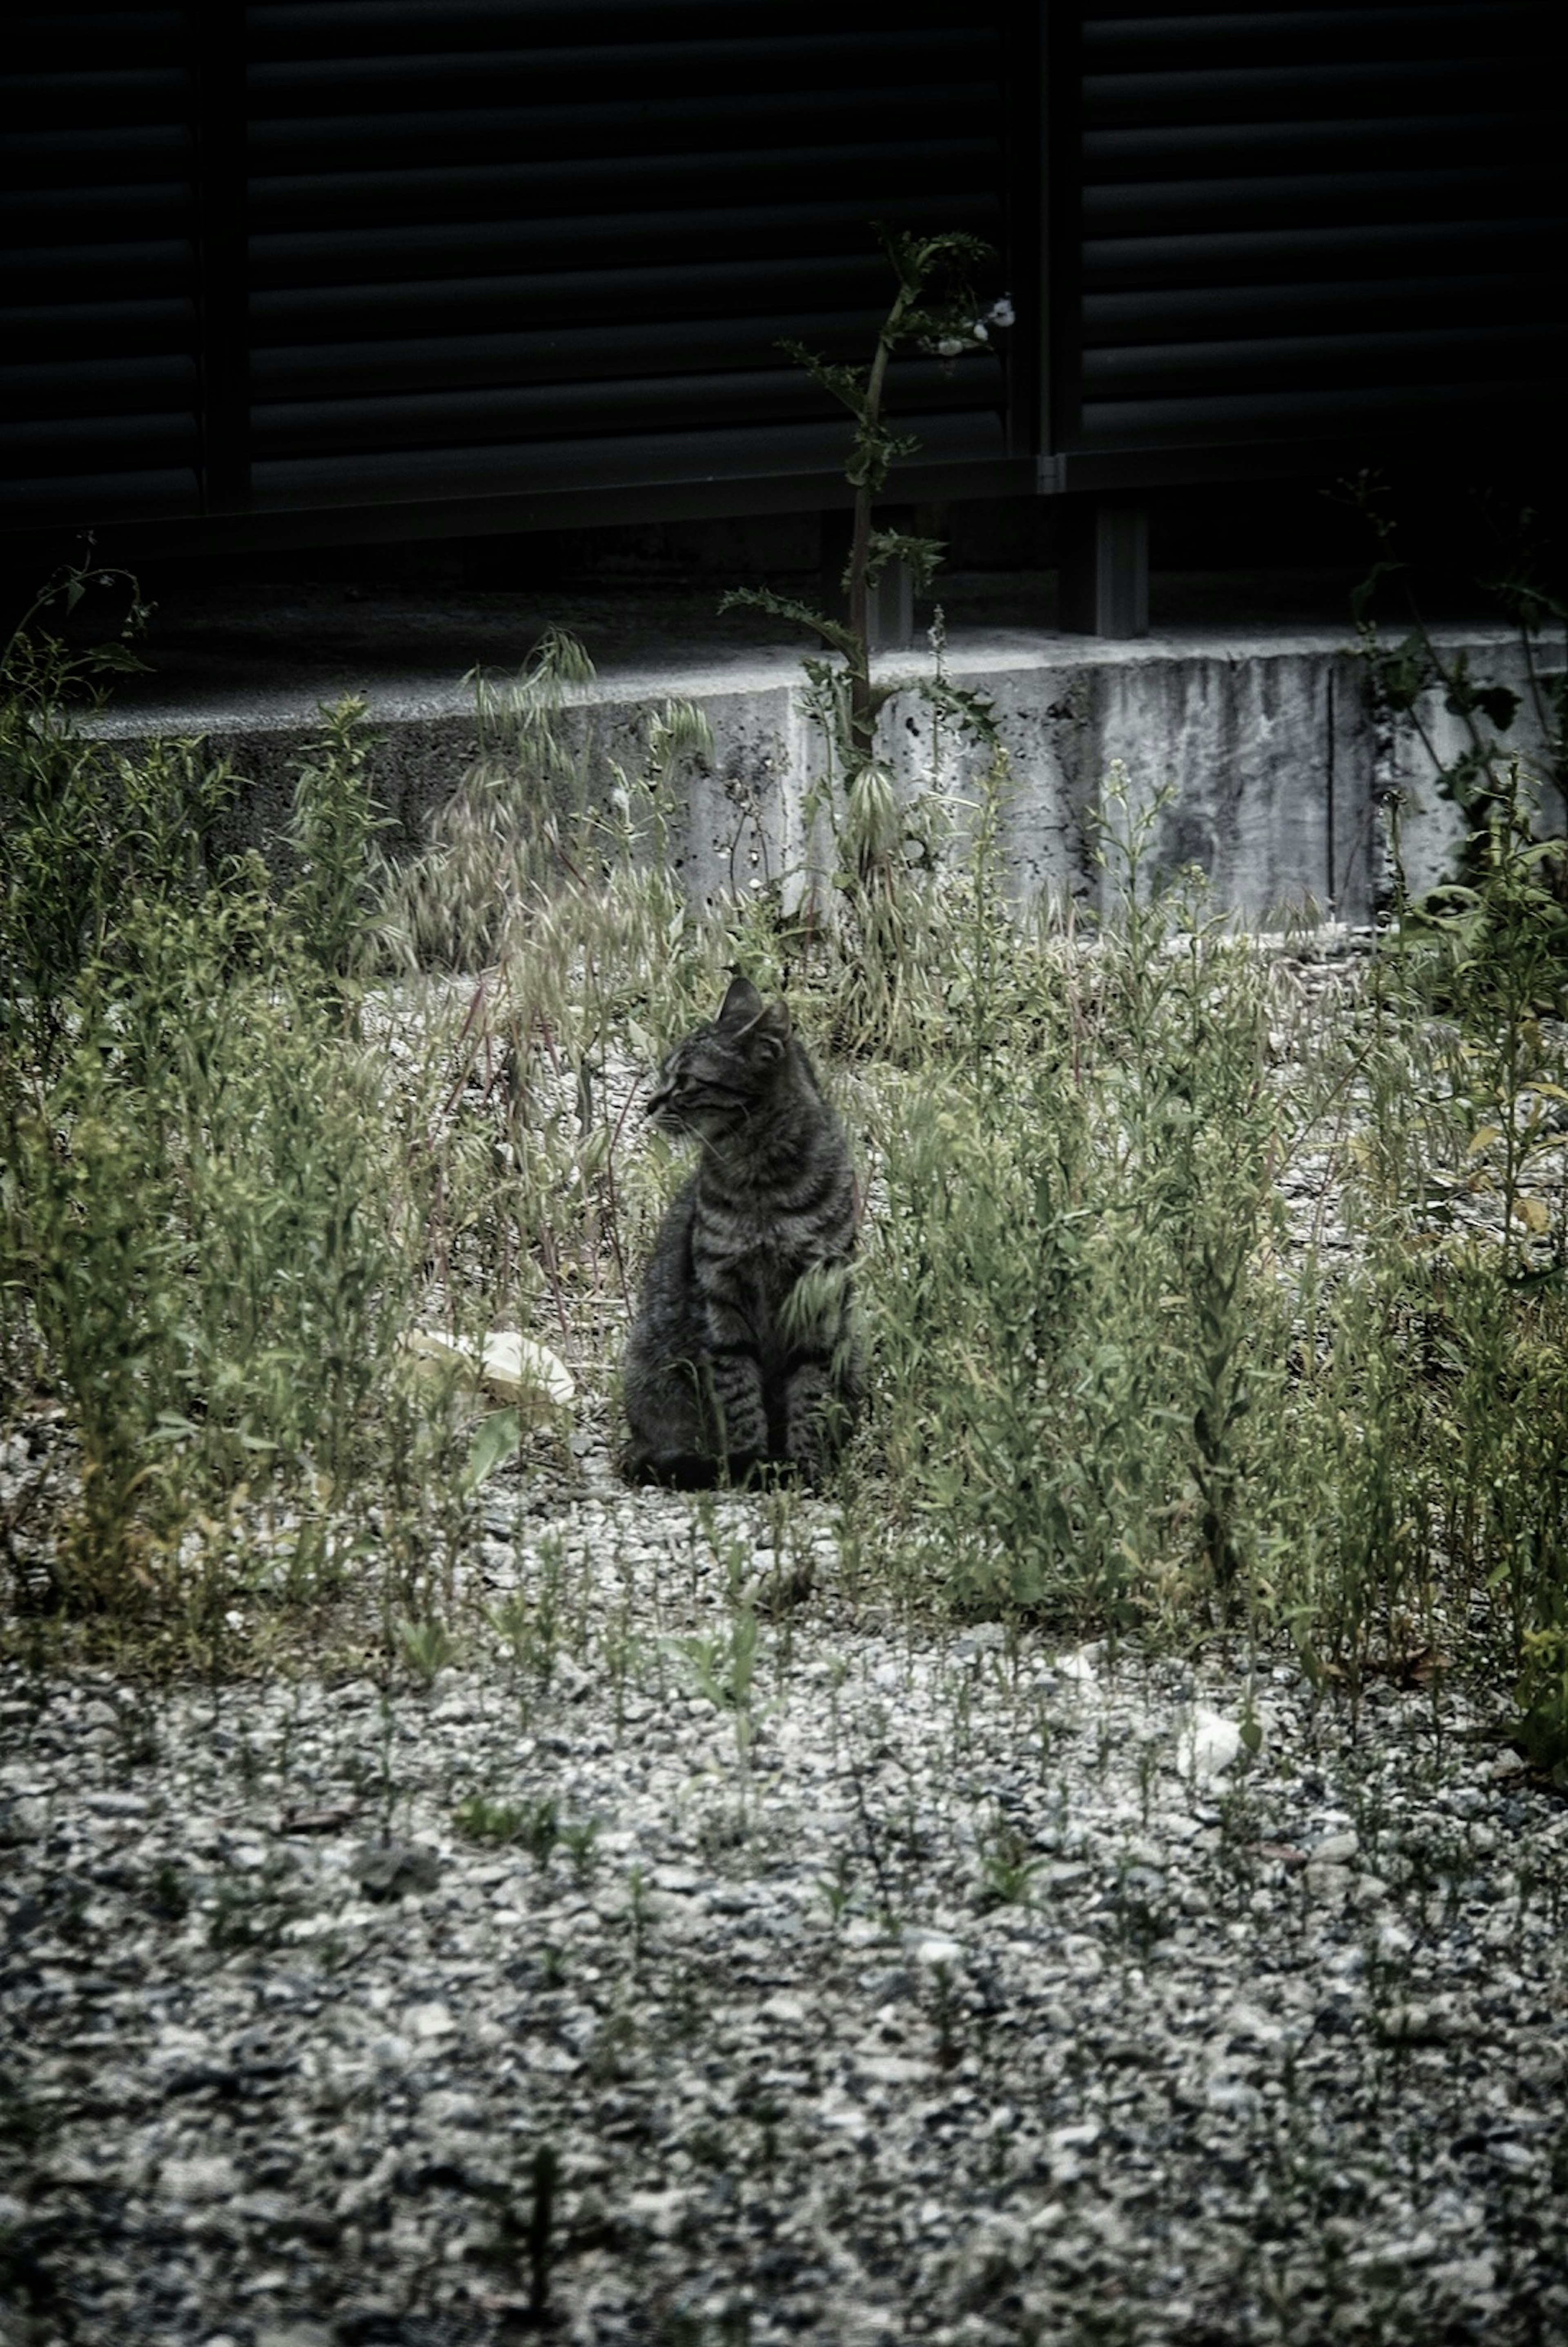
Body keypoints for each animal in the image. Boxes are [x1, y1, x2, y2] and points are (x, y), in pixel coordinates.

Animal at [619, 971, 859, 1483]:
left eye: (686, 1081)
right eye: (664, 1074)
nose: (649, 1104)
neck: (761, 1180)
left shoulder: (818, 1293)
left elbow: (809, 1390)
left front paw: (803, 1467)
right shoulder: (722, 1295)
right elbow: (740, 1396)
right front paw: (752, 1463)